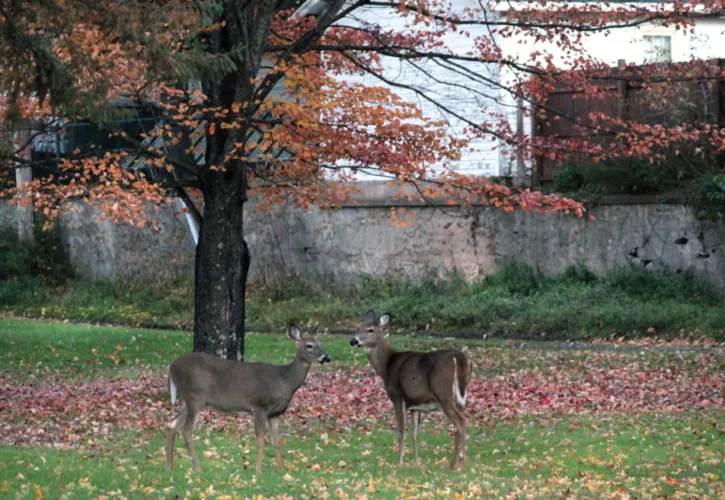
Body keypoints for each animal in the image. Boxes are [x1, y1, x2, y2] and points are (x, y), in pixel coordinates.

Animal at [165, 324, 330, 475]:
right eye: (309, 345)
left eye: (321, 344)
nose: (327, 358)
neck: (284, 380)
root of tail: (171, 366)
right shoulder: (259, 406)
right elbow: (260, 440)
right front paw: (259, 471)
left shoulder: (275, 413)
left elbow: (276, 441)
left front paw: (282, 470)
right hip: (195, 397)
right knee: (186, 430)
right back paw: (197, 468)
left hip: (187, 400)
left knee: (172, 424)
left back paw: (170, 467)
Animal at [349, 310, 472, 470]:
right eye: (358, 327)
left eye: (370, 330)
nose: (353, 341)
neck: (386, 366)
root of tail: (459, 359)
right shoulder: (415, 405)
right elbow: (415, 434)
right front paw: (416, 463)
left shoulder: (397, 397)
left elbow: (401, 431)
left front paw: (400, 463)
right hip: (460, 396)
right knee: (458, 424)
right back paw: (452, 465)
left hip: (443, 392)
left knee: (462, 421)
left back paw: (461, 465)